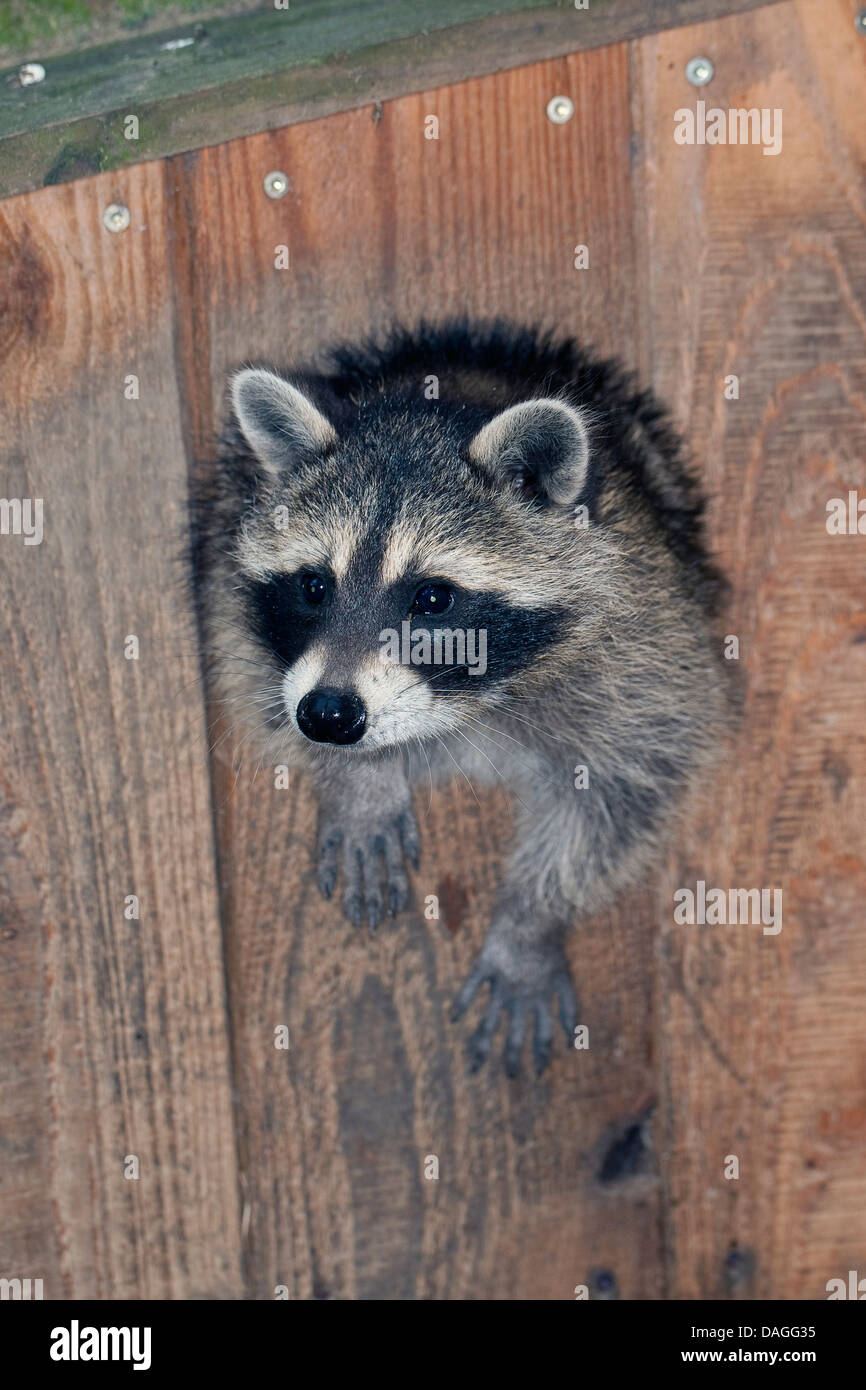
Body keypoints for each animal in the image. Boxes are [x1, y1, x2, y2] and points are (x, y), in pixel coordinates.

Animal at [197, 321, 730, 1077]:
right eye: (313, 585)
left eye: (432, 598)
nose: (330, 715)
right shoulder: (231, 592)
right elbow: (254, 671)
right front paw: (361, 782)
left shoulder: (646, 638)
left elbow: (628, 782)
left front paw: (531, 922)